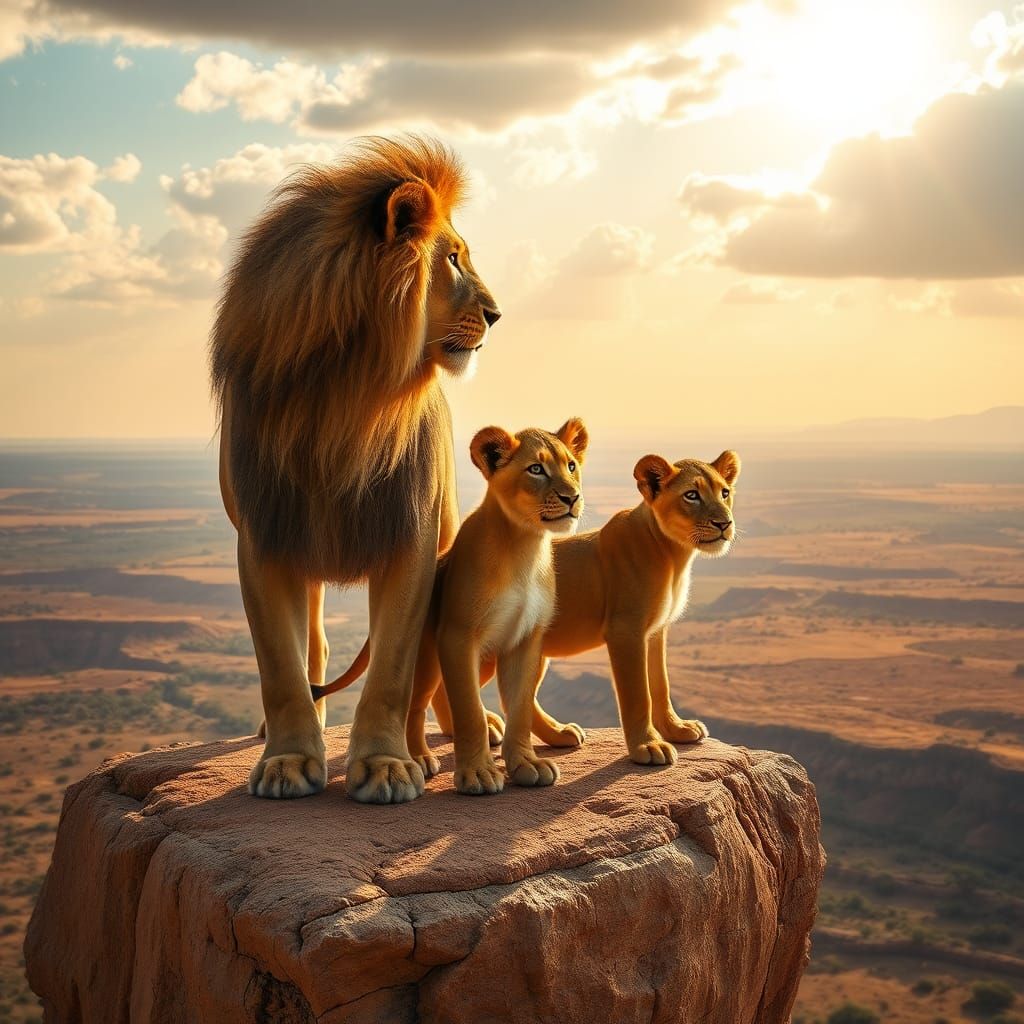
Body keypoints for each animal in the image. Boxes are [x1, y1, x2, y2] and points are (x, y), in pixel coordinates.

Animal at [212, 135, 501, 803]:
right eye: (452, 259)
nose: (497, 314)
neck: (348, 392)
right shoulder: (265, 535)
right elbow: (282, 666)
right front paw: (288, 759)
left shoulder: (411, 534)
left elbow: (395, 666)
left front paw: (387, 765)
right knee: (314, 646)